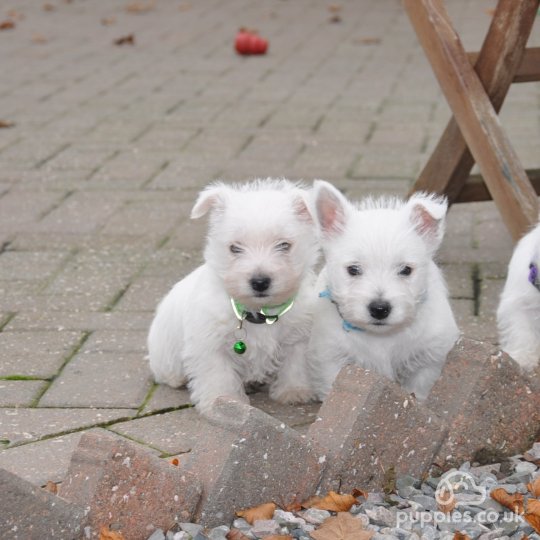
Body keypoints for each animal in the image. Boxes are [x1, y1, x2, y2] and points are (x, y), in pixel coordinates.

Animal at [147, 179, 320, 416]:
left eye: (284, 245)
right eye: (234, 248)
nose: (259, 282)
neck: (260, 313)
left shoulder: (299, 335)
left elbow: (296, 364)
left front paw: (294, 392)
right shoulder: (210, 344)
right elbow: (218, 375)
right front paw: (222, 403)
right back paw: (176, 378)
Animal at [308, 181, 460, 400]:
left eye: (406, 270)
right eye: (353, 269)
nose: (379, 309)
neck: (382, 338)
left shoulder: (428, 360)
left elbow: (419, 392)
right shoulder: (332, 359)